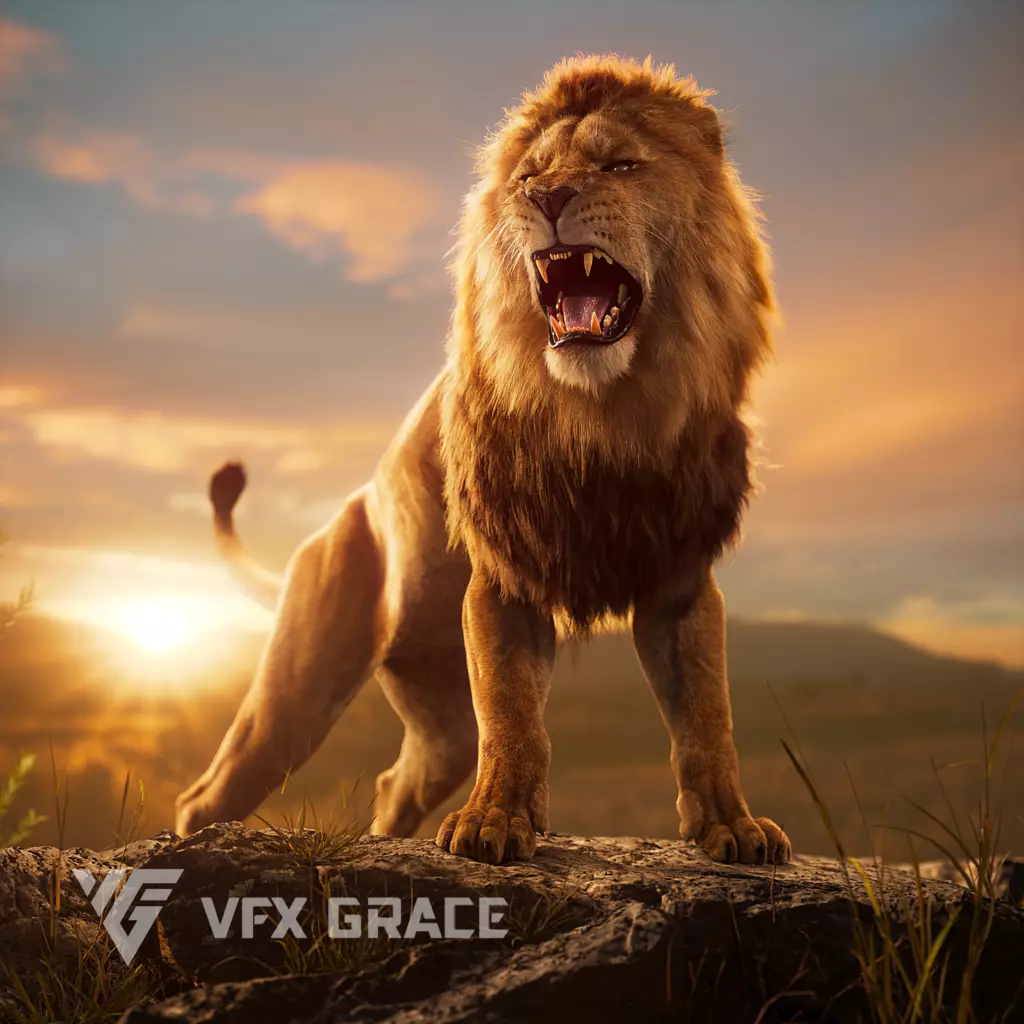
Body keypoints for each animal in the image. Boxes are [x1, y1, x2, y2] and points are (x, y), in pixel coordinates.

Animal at [174, 55, 792, 867]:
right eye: (529, 176)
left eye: (620, 165)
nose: (550, 197)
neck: (607, 414)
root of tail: (338, 521)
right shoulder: (505, 577)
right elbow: (512, 714)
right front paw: (494, 824)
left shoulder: (680, 581)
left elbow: (707, 718)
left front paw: (731, 827)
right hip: (297, 689)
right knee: (206, 794)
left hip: (439, 723)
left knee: (396, 782)